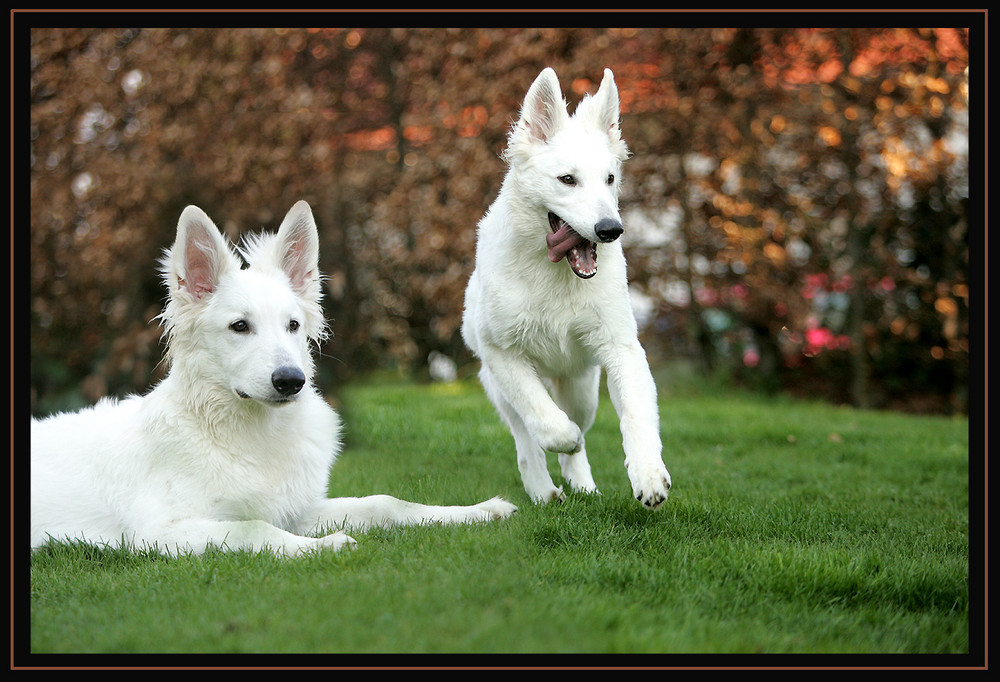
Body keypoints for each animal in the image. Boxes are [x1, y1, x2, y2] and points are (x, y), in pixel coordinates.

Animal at [31, 201, 516, 552]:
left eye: (293, 325)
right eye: (239, 327)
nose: (291, 381)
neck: (247, 434)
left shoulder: (298, 509)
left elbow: (388, 503)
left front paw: (476, 512)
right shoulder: (160, 533)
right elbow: (254, 529)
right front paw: (323, 546)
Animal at [460, 67, 672, 504]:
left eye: (610, 178)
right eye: (567, 180)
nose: (610, 230)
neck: (554, 273)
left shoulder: (621, 348)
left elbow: (637, 415)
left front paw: (648, 475)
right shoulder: (502, 353)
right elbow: (546, 421)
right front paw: (563, 439)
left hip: (582, 387)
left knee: (577, 426)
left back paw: (582, 485)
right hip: (500, 387)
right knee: (526, 437)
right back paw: (543, 490)